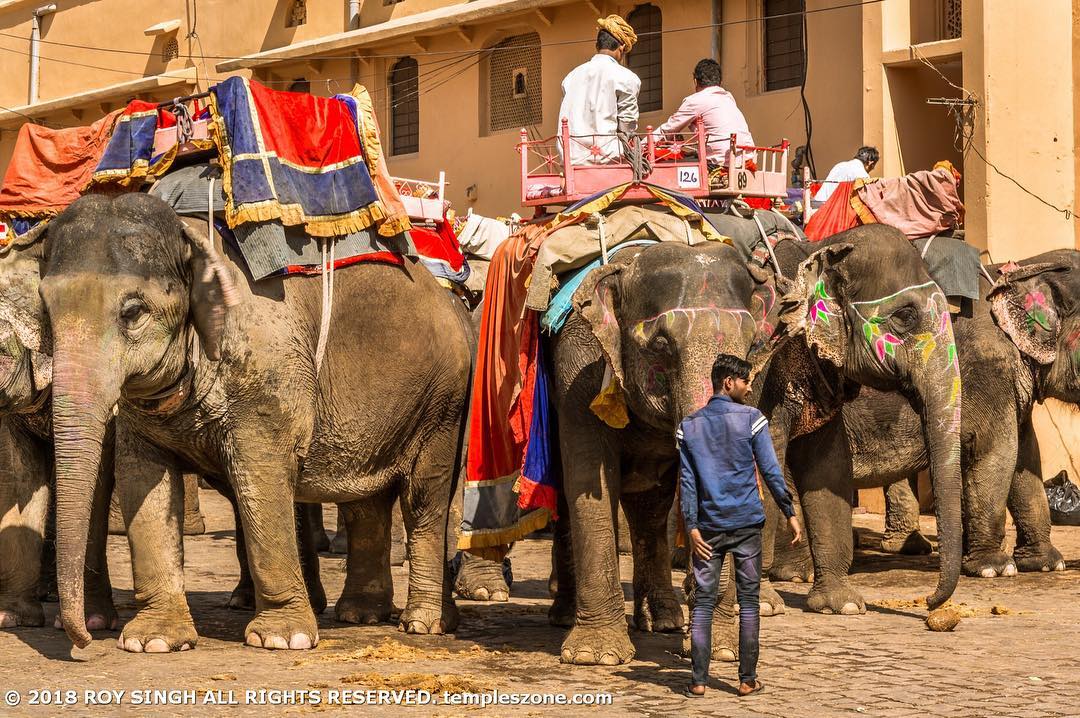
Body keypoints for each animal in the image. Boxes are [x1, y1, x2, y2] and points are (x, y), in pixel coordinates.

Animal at [38, 193, 473, 652]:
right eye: (44, 308)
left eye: (133, 312)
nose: (85, 639)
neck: (188, 234)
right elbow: (144, 480)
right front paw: (152, 641)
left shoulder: (268, 371)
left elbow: (259, 474)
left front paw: (282, 638)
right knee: (364, 500)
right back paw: (362, 615)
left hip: (443, 399)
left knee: (425, 496)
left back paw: (423, 623)